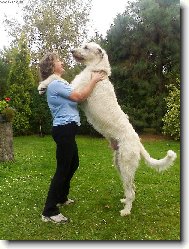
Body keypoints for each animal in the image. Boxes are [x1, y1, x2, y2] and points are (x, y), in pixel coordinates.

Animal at [38, 41, 177, 215]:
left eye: (86, 47)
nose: (72, 51)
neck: (97, 69)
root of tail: (138, 142)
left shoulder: (77, 90)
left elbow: (56, 77)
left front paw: (43, 84)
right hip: (120, 164)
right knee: (131, 187)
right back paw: (125, 202)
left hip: (125, 164)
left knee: (131, 190)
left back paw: (126, 211)